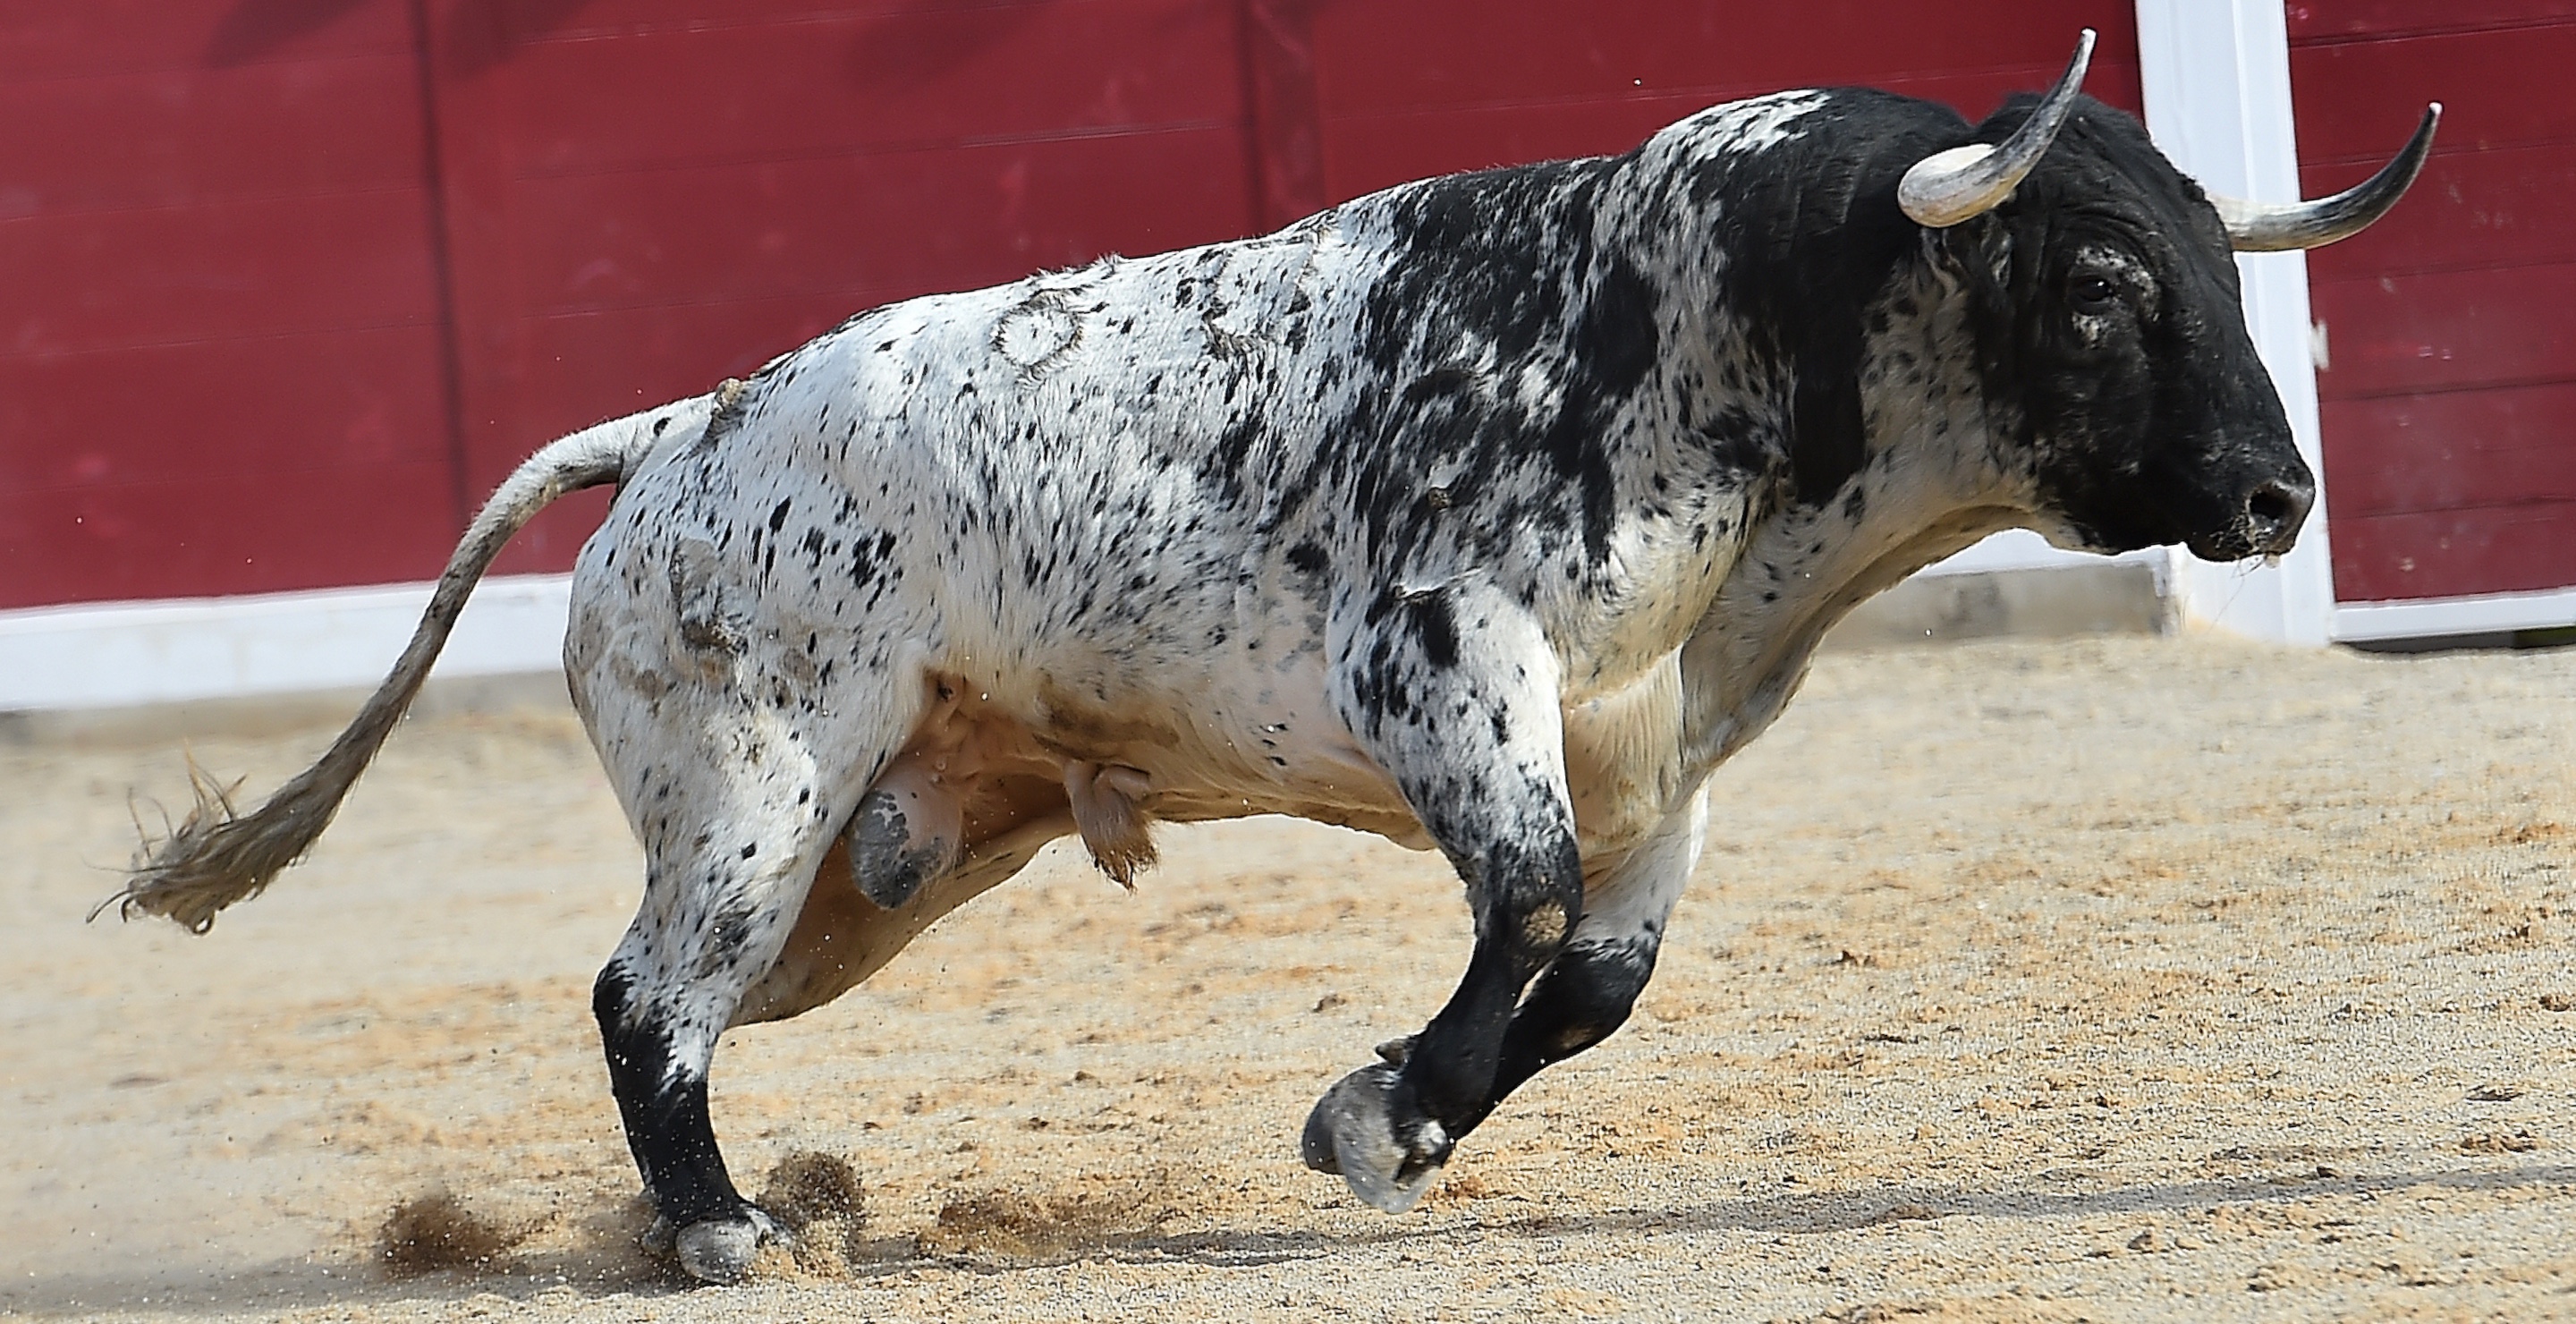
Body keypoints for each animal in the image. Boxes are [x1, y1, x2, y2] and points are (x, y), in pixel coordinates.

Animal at [113, 33, 2435, 1284]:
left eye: (2216, 262)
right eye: (2101, 279)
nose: (2273, 495)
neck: (1698, 331)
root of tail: (678, 426)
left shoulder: (1658, 758)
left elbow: (1592, 970)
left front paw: (1391, 1118)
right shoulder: (1443, 662)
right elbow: (1525, 902)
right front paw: (1377, 1114)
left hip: (863, 868)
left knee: (670, 1004)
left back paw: (755, 1201)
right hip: (755, 793)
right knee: (641, 997)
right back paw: (717, 1234)